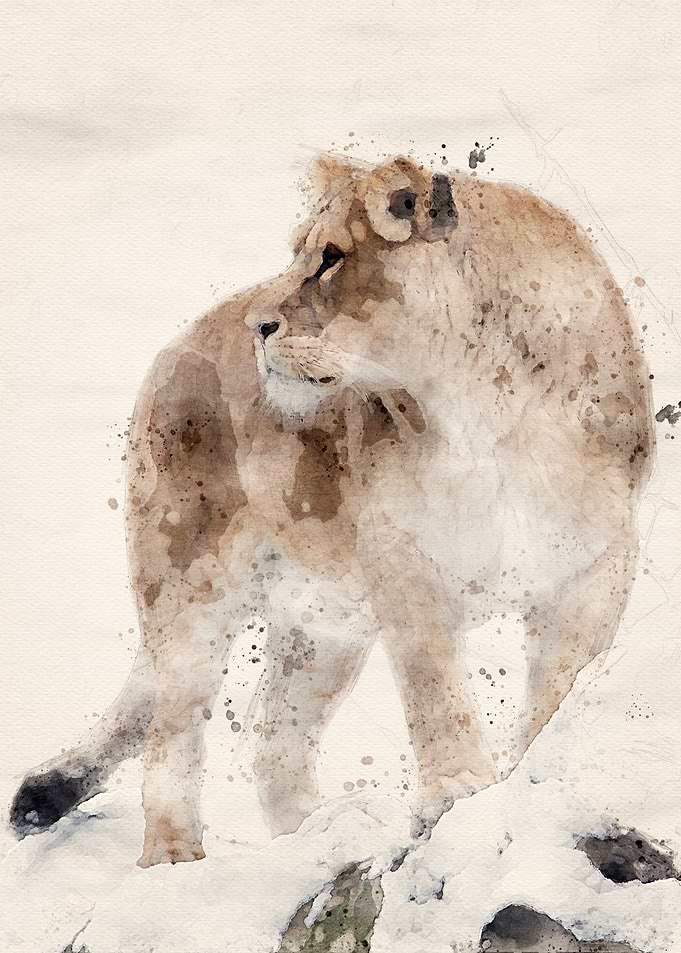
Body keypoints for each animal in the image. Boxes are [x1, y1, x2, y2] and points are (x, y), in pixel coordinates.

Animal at [10, 153, 653, 867]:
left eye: (331, 258)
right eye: (299, 253)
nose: (257, 327)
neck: (485, 409)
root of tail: (177, 345)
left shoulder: (593, 570)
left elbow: (558, 692)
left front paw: (524, 785)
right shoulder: (405, 564)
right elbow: (437, 690)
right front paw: (456, 794)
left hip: (323, 621)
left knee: (276, 741)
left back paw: (316, 838)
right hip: (189, 581)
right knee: (172, 734)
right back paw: (175, 859)